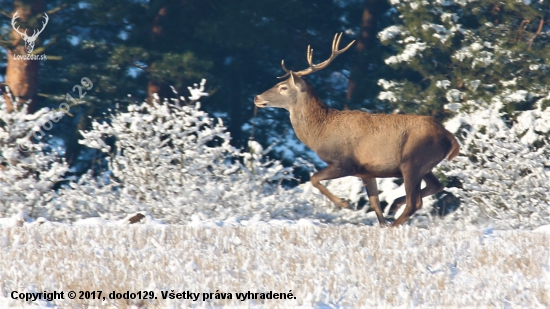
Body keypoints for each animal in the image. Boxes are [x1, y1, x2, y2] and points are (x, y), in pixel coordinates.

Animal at [254, 33, 462, 226]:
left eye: (283, 87)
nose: (257, 97)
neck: (320, 131)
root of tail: (449, 136)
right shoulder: (366, 171)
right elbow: (375, 204)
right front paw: (380, 225)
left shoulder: (345, 162)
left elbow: (314, 178)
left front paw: (344, 203)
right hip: (423, 165)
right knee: (436, 185)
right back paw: (394, 207)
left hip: (414, 161)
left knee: (415, 202)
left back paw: (394, 221)